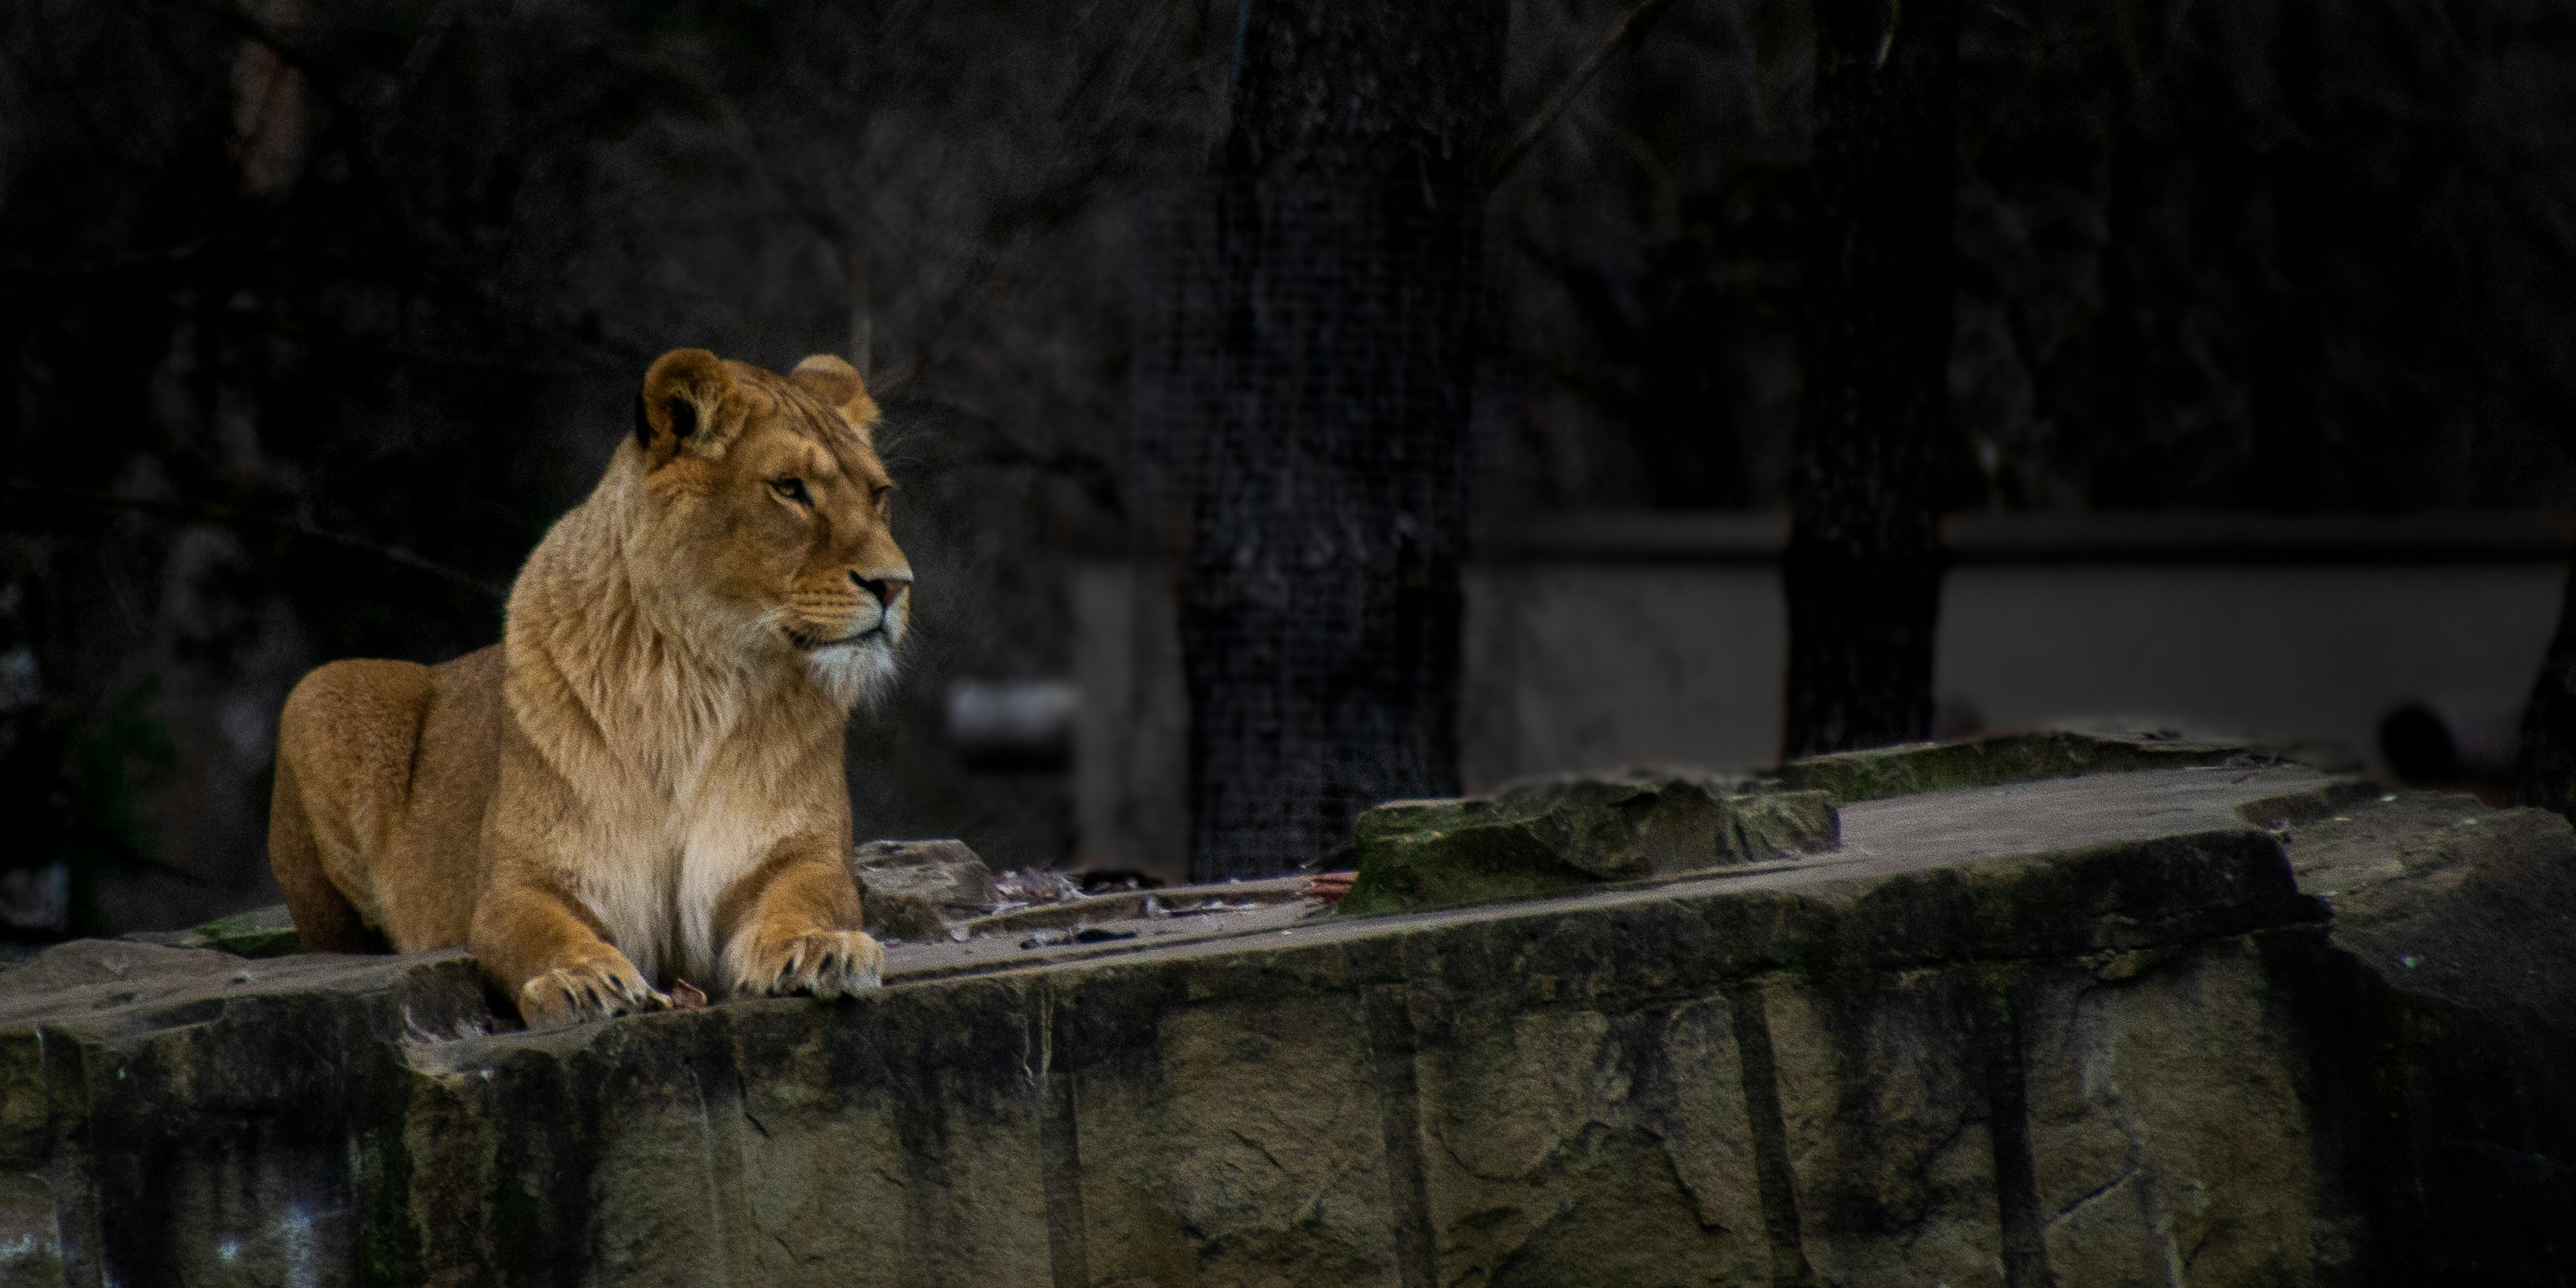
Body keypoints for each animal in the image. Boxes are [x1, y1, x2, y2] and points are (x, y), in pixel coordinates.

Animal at [266, 348, 909, 1029]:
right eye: (790, 488)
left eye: (879, 495)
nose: (896, 585)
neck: (695, 677)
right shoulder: (523, 882)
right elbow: (541, 930)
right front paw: (580, 979)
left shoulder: (793, 855)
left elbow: (808, 896)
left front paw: (820, 946)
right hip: (322, 689)